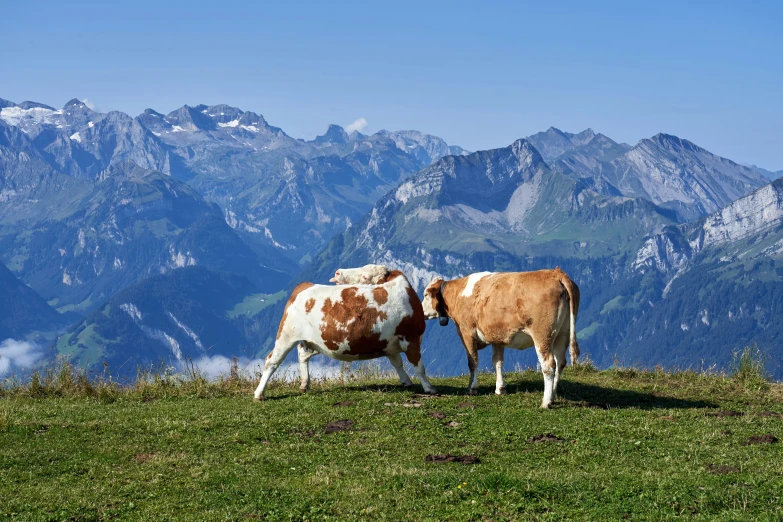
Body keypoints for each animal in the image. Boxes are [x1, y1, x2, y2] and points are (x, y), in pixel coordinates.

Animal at [254, 268, 438, 398]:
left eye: (365, 277)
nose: (338, 273)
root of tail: (305, 285)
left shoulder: (390, 342)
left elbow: (397, 363)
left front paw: (406, 381)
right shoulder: (411, 338)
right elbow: (419, 366)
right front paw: (429, 388)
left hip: (314, 341)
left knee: (302, 353)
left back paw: (305, 385)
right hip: (286, 335)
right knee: (272, 361)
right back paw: (259, 394)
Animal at [422, 268, 580, 406]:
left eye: (425, 295)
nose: (421, 312)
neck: (458, 294)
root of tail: (557, 273)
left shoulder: (466, 332)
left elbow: (473, 362)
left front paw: (472, 388)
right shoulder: (496, 336)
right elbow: (497, 362)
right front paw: (500, 389)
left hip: (542, 334)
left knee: (548, 365)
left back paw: (546, 402)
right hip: (562, 333)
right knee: (560, 363)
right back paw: (552, 396)